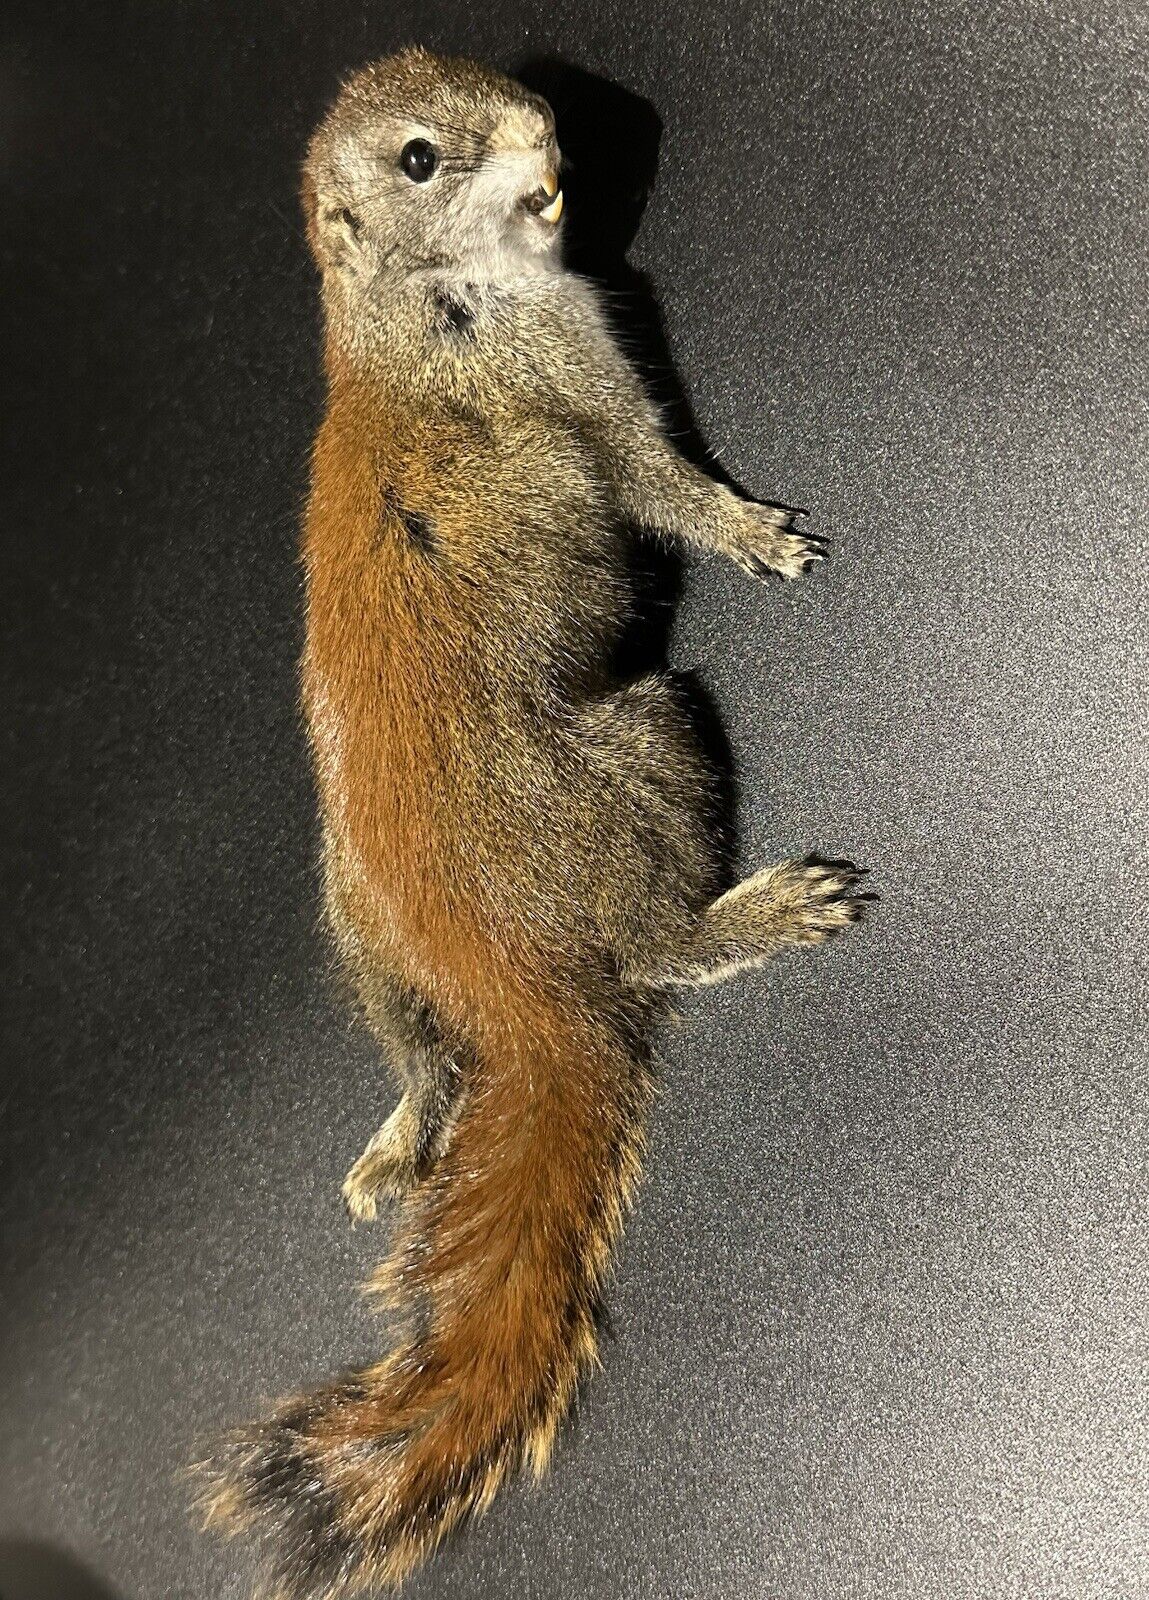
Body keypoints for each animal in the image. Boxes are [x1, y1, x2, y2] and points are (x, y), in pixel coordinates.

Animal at [196, 46, 869, 1597]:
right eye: (422, 157)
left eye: (485, 69)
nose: (551, 133)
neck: (410, 315)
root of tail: (519, 988)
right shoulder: (572, 370)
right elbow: (655, 476)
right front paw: (755, 532)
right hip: (648, 741)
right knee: (658, 950)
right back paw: (743, 913)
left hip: (364, 938)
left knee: (425, 1053)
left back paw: (405, 1130)